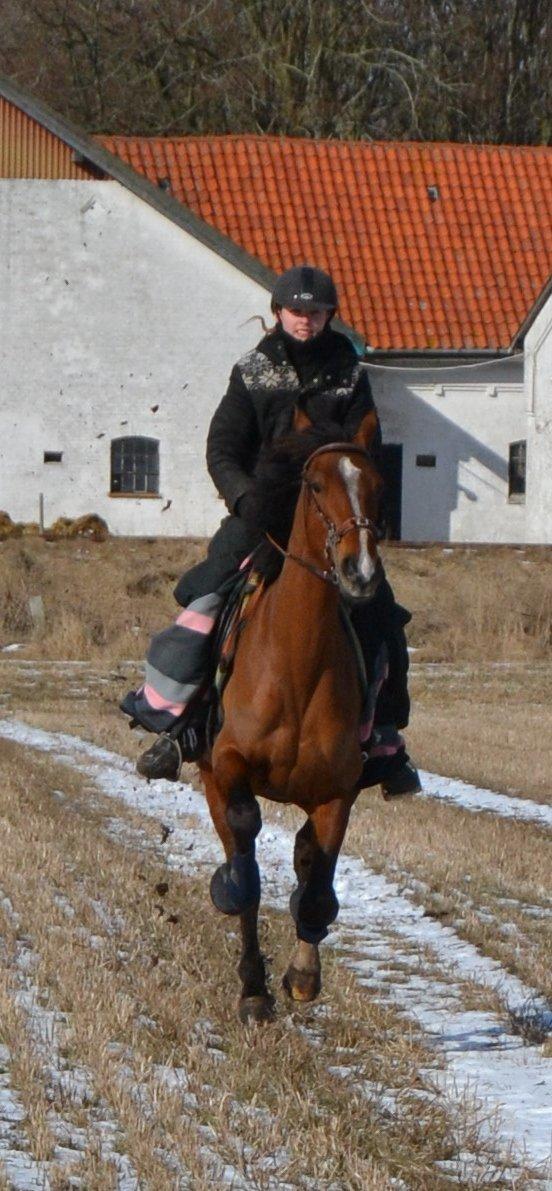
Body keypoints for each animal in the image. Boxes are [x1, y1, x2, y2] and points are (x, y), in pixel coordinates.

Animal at [199, 412, 383, 1024]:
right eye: (316, 485)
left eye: (378, 484)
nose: (360, 572)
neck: (297, 665)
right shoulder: (229, 769)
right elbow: (247, 869)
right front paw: (254, 988)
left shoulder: (337, 793)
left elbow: (318, 873)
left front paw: (303, 973)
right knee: (240, 857)